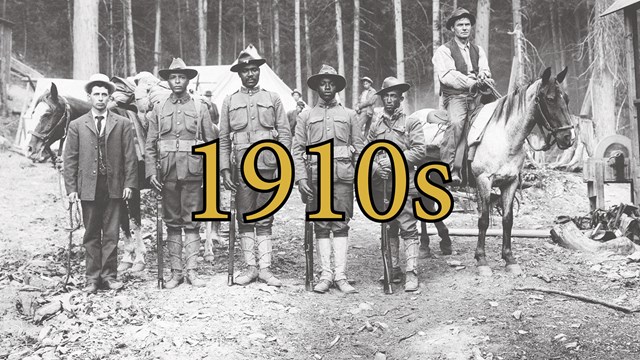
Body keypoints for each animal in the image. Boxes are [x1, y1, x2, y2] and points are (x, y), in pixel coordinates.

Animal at [418, 67, 576, 276]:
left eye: (566, 98)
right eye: (550, 99)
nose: (568, 137)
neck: (505, 137)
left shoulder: (510, 182)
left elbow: (507, 220)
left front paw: (509, 259)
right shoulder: (484, 180)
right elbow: (484, 220)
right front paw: (482, 260)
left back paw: (444, 242)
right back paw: (424, 246)